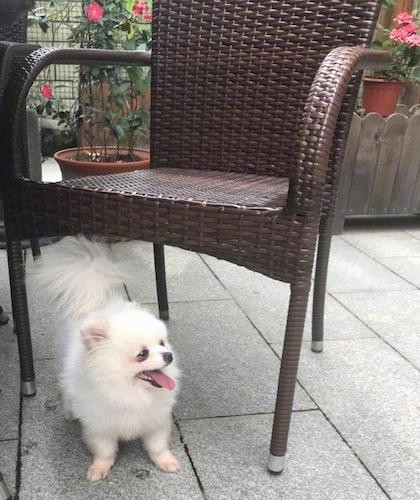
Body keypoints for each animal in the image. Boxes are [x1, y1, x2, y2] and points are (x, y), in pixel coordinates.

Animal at [34, 237, 180, 480]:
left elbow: (157, 445)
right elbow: (104, 451)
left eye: (162, 343)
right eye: (142, 354)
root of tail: (93, 298)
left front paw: (166, 462)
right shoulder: (99, 425)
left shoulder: (155, 420)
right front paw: (98, 469)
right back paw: (69, 411)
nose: (168, 355)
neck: (131, 393)